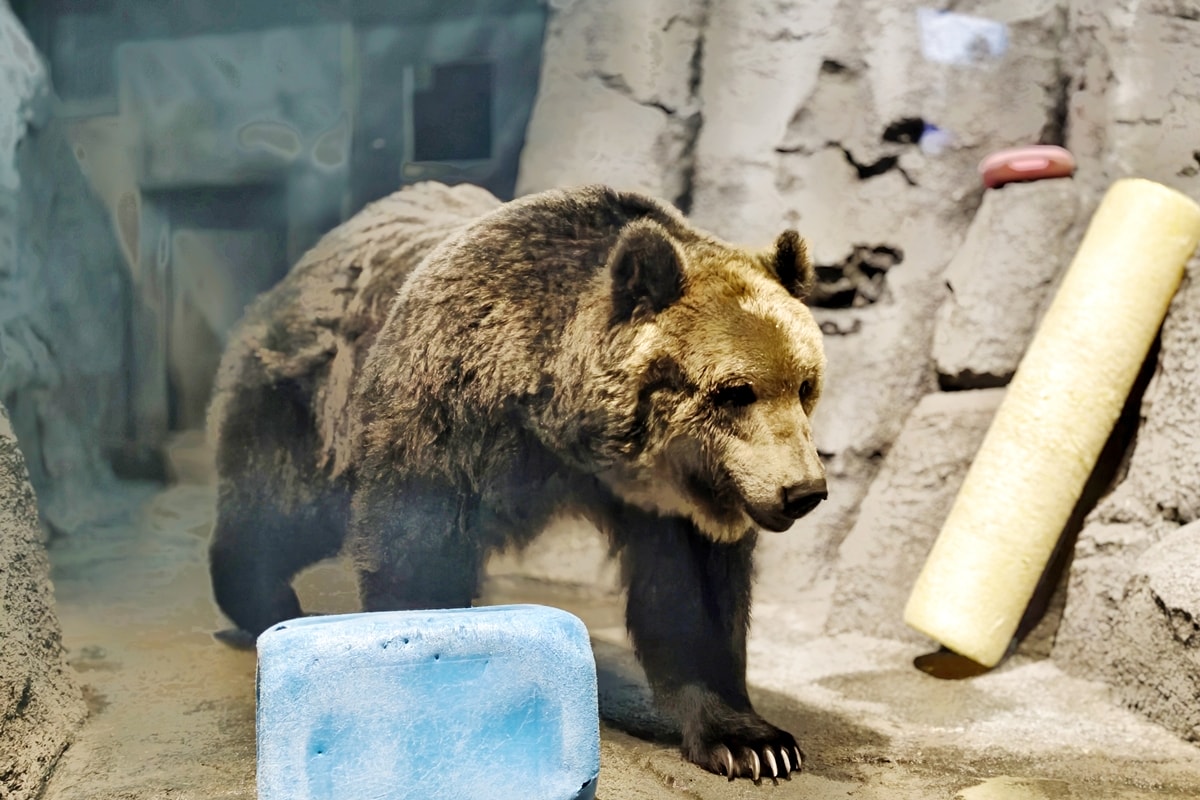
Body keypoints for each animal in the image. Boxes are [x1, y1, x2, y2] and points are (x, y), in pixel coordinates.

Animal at [207, 181, 828, 782]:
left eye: (805, 385)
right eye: (736, 391)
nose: (804, 491)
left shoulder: (673, 496)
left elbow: (694, 598)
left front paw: (753, 744)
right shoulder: (450, 416)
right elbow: (415, 548)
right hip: (312, 396)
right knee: (280, 506)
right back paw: (265, 598)